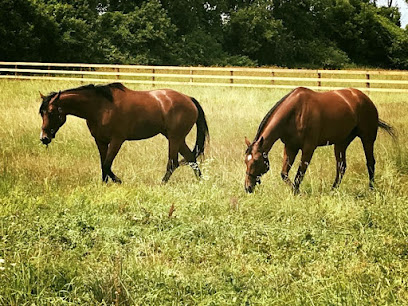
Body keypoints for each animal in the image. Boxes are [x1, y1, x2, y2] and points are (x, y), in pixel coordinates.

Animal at [39, 81, 209, 183]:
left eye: (52, 112)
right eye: (42, 113)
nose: (44, 138)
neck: (100, 107)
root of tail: (189, 99)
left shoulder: (117, 140)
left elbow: (107, 164)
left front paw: (118, 181)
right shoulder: (100, 141)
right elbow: (103, 165)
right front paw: (104, 184)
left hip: (174, 138)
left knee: (173, 162)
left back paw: (161, 184)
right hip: (176, 138)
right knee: (191, 158)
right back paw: (200, 182)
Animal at [245, 87, 396, 194]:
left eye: (256, 161)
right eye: (246, 161)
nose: (248, 187)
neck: (295, 113)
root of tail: (365, 98)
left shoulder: (308, 148)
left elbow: (299, 174)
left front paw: (298, 193)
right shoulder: (290, 147)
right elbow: (284, 174)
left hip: (367, 139)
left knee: (370, 163)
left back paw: (371, 189)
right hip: (341, 143)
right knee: (341, 167)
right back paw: (333, 190)